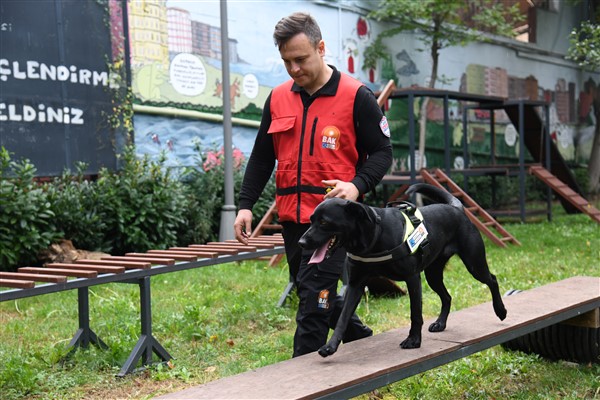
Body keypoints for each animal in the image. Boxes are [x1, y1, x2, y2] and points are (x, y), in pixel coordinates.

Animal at [298, 184, 506, 356]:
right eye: (311, 220)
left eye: (324, 222)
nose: (301, 242)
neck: (374, 236)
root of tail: (456, 208)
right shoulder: (356, 285)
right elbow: (343, 318)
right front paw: (330, 346)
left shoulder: (412, 278)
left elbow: (416, 313)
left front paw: (413, 340)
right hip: (433, 275)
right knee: (447, 297)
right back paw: (440, 323)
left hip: (474, 263)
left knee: (492, 279)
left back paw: (501, 310)